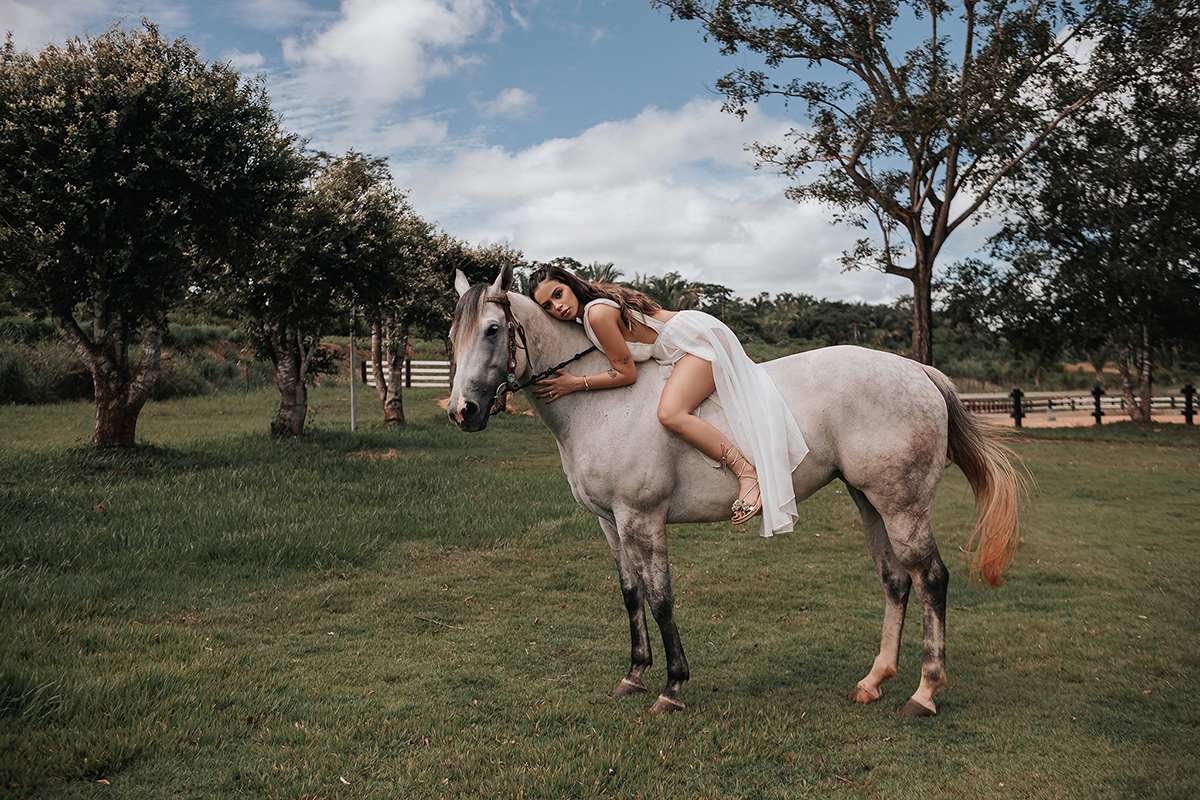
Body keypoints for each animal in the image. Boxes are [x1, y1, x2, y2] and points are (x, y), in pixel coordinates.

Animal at [447, 265, 1021, 717]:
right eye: (452, 335)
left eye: (493, 330)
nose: (462, 412)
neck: (604, 398)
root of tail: (916, 369)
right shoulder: (611, 522)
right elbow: (631, 594)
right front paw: (634, 675)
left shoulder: (641, 518)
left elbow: (661, 598)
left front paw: (672, 686)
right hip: (870, 502)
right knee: (896, 581)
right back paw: (874, 681)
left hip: (902, 506)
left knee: (931, 579)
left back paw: (924, 693)